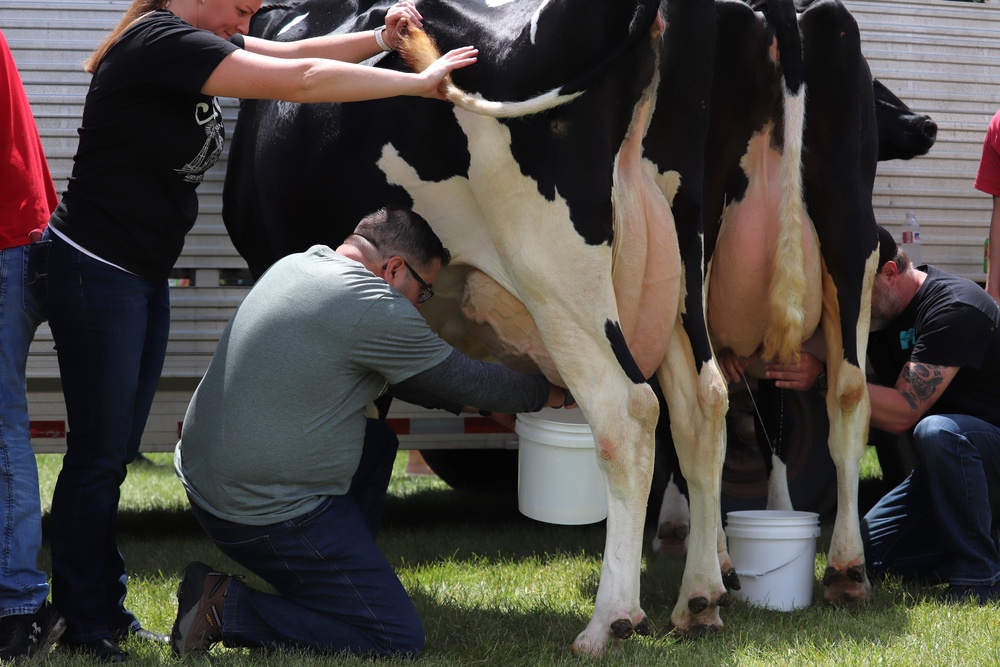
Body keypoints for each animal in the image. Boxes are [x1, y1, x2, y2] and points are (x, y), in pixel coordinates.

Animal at [224, 0, 724, 652]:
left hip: (554, 266)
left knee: (629, 413)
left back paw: (609, 620)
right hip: (685, 256)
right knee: (704, 406)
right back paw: (700, 599)